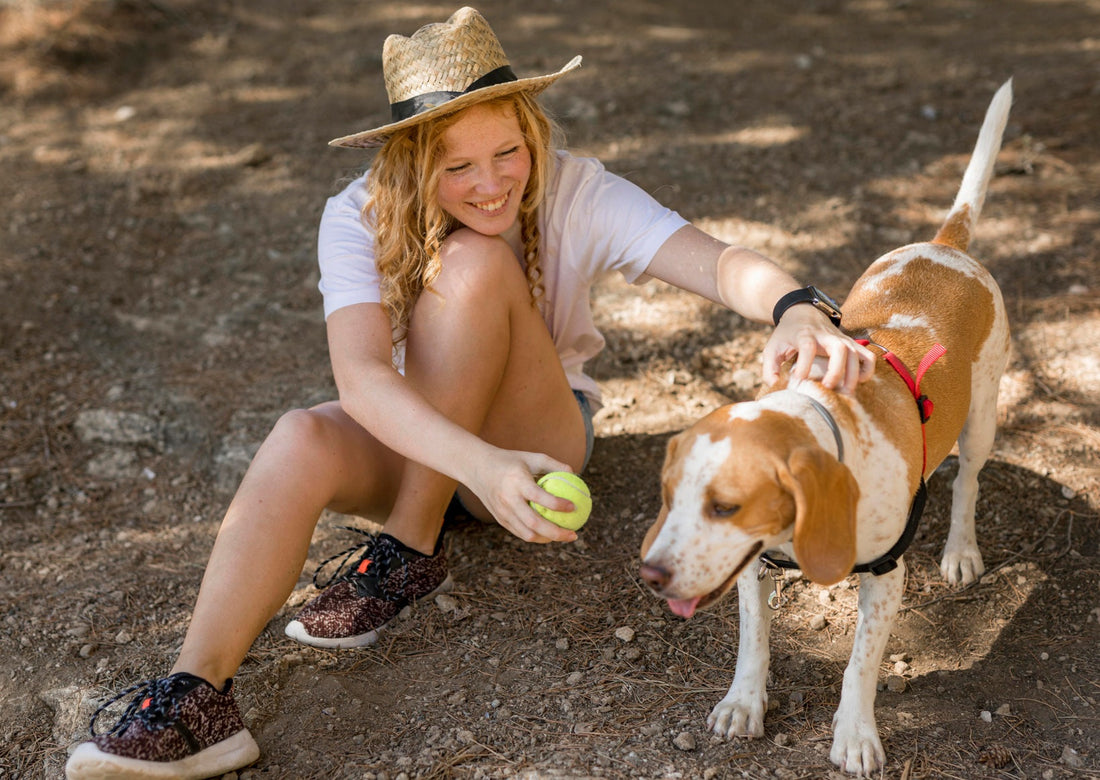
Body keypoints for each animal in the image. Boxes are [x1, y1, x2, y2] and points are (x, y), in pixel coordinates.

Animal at [638, 79, 1012, 774]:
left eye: (725, 506)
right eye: (669, 498)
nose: (650, 575)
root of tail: (947, 245)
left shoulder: (887, 577)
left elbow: (859, 665)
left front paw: (855, 735)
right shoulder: (754, 569)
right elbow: (754, 642)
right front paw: (743, 703)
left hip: (983, 418)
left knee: (968, 482)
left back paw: (960, 552)